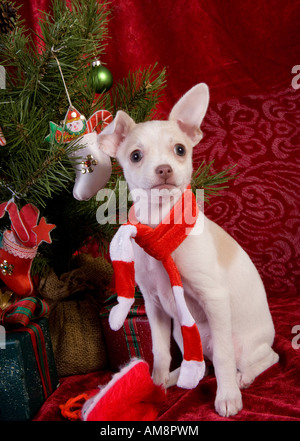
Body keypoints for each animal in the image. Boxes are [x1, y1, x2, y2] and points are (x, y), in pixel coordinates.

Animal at [99, 83, 278, 416]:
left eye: (180, 150)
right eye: (135, 156)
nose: (164, 169)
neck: (161, 227)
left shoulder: (214, 298)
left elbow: (223, 358)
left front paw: (227, 397)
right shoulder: (155, 306)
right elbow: (159, 352)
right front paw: (156, 385)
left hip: (244, 345)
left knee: (261, 357)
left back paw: (243, 378)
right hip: (183, 334)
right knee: (198, 361)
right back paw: (177, 376)